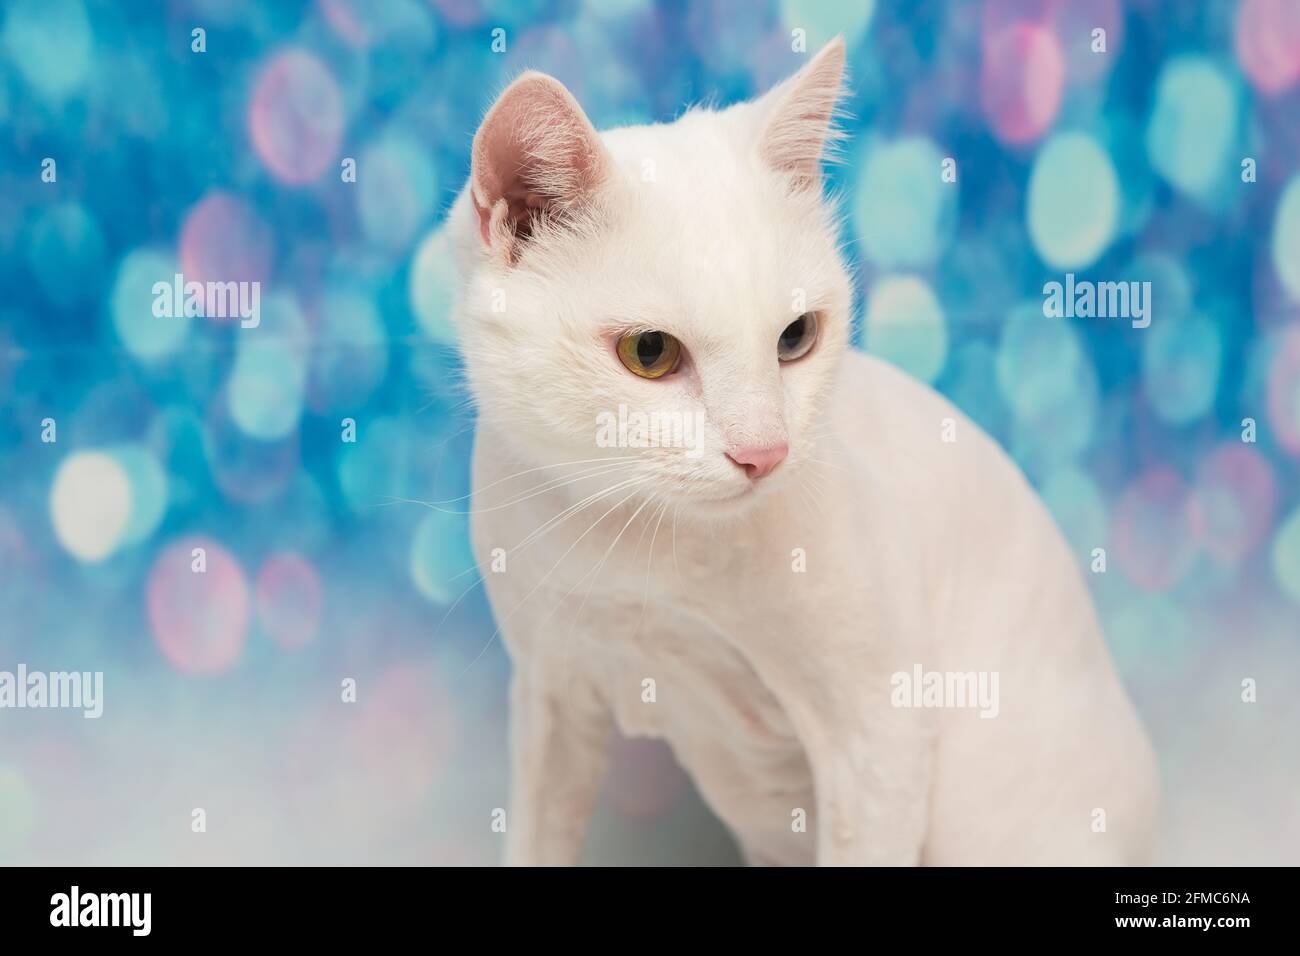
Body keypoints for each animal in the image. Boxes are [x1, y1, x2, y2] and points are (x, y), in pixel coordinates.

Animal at [447, 39, 1159, 868]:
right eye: (649, 353)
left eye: (796, 339)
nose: (766, 450)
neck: (641, 550)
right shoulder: (550, 693)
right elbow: (537, 833)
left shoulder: (879, 736)